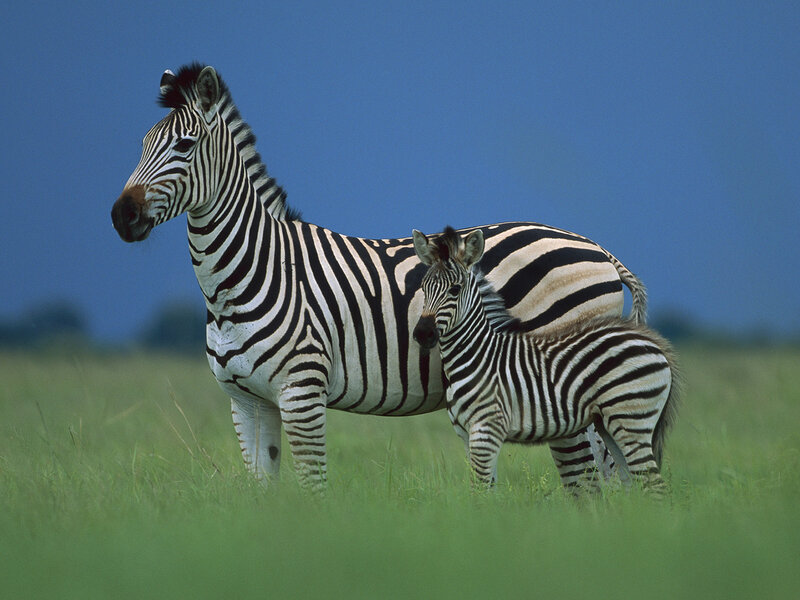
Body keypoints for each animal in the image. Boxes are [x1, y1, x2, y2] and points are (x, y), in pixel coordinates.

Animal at [111, 63, 648, 492]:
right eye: (142, 145)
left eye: (185, 145)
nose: (121, 216)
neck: (247, 275)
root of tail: (597, 249)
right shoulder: (246, 401)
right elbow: (263, 494)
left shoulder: (302, 392)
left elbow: (313, 490)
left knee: (590, 480)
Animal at [412, 226, 678, 493]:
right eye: (423, 287)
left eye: (455, 290)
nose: (423, 333)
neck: (477, 354)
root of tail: (654, 343)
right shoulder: (467, 433)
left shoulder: (487, 428)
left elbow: (480, 492)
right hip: (611, 423)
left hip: (631, 418)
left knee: (654, 485)